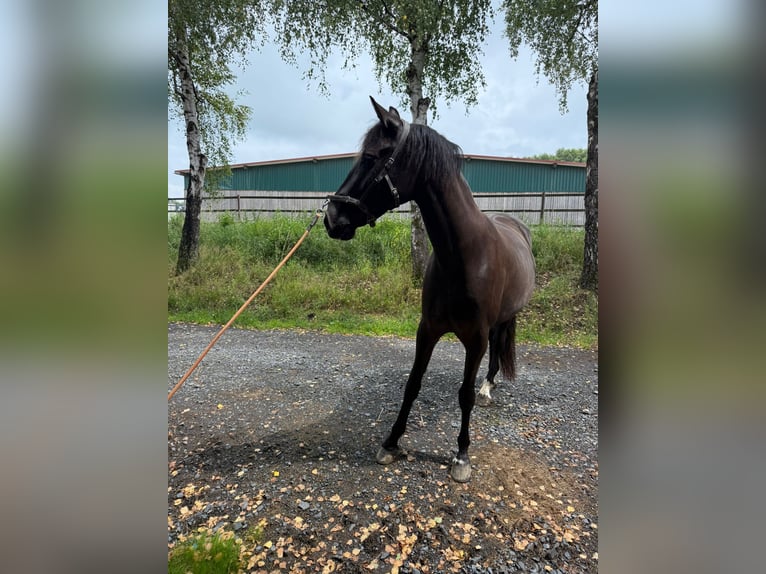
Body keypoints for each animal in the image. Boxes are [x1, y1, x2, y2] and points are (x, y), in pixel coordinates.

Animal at [324, 97, 536, 482]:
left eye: (372, 157)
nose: (331, 218)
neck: (464, 257)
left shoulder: (475, 339)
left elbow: (464, 395)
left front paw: (462, 456)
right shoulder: (428, 329)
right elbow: (412, 384)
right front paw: (391, 442)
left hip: (504, 318)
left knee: (497, 350)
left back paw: (488, 386)